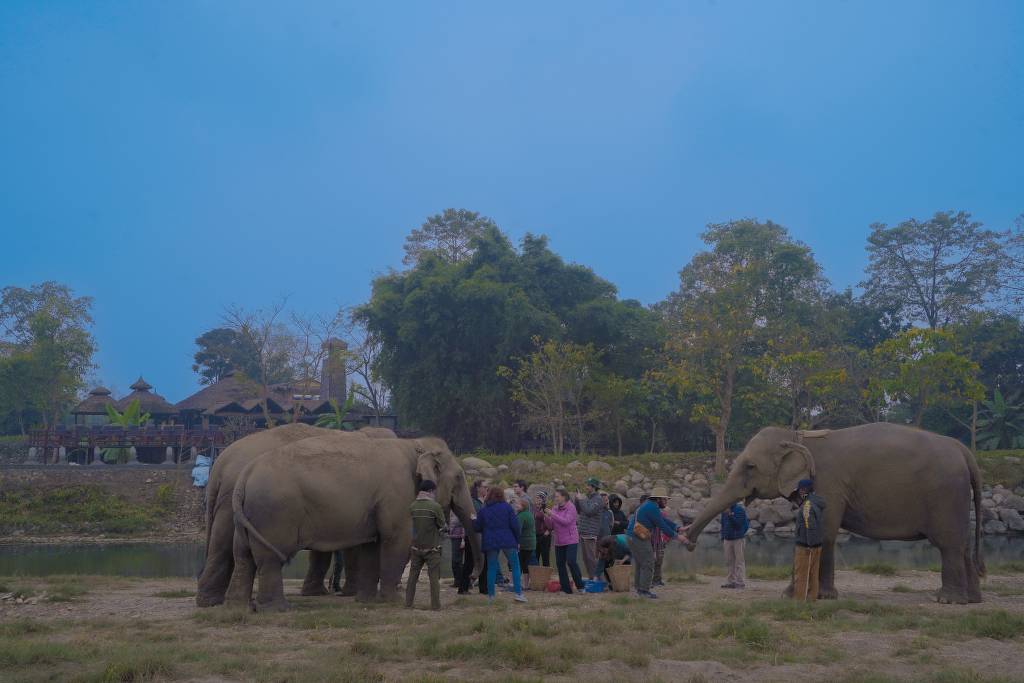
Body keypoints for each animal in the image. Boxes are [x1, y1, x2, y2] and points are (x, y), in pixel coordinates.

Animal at [195, 423, 398, 607]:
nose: (335, 588)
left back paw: (211, 602)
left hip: (228, 502)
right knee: (225, 544)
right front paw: (349, 593)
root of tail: (221, 463)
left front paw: (316, 593)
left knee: (223, 545)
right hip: (237, 501)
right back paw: (213, 601)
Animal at [225, 433, 481, 611]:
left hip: (249, 517)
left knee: (243, 556)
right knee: (269, 560)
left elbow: (371, 546)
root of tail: (245, 474)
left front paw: (366, 600)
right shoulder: (397, 495)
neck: (414, 444)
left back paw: (239, 607)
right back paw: (278, 609)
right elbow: (395, 540)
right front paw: (393, 600)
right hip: (274, 514)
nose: (472, 579)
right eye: (459, 477)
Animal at [683, 423, 984, 604]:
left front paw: (807, 596)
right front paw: (808, 596)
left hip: (945, 496)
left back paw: (946, 600)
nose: (687, 540)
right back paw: (972, 600)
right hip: (957, 499)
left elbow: (824, 533)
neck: (797, 436)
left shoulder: (828, 484)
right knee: (964, 546)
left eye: (750, 466)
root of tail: (965, 451)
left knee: (949, 545)